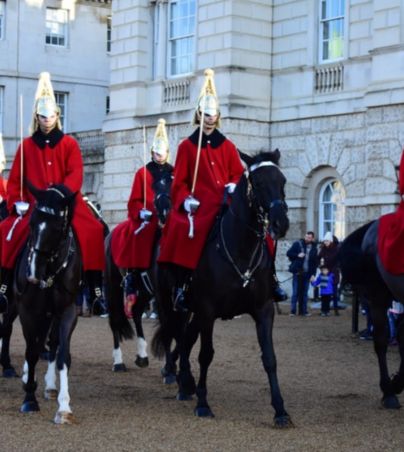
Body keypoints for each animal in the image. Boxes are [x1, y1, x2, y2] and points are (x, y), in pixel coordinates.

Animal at [15, 184, 81, 424]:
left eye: (57, 227)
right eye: (31, 222)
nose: (33, 274)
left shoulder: (68, 311)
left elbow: (62, 356)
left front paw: (64, 407)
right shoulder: (27, 310)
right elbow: (31, 352)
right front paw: (29, 400)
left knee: (50, 343)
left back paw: (49, 385)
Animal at [105, 169, 171, 370]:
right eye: (155, 186)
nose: (165, 212)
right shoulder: (163, 295)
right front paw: (169, 368)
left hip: (143, 289)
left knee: (135, 312)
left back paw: (142, 355)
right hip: (112, 286)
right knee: (114, 319)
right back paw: (118, 362)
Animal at [151, 150, 290, 430]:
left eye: (283, 181)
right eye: (258, 183)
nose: (280, 223)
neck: (241, 250)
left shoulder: (263, 310)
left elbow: (269, 358)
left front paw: (280, 410)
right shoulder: (207, 310)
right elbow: (206, 354)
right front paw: (203, 404)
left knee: (185, 338)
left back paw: (186, 382)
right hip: (172, 304)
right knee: (176, 335)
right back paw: (179, 378)